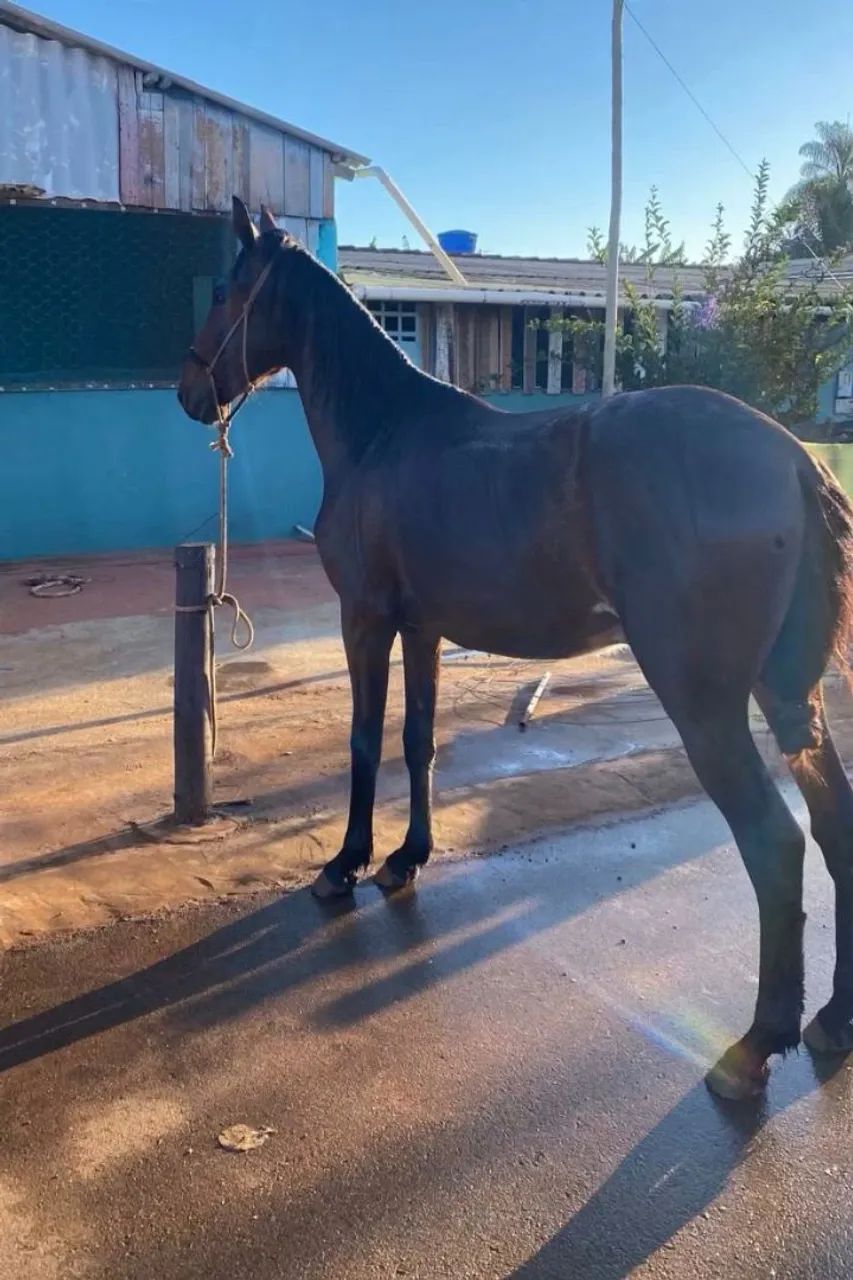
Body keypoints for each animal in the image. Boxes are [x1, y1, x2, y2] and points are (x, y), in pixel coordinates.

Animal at [179, 197, 853, 1102]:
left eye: (224, 291)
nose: (188, 390)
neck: (383, 432)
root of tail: (791, 459)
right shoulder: (421, 627)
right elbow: (417, 742)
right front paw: (404, 860)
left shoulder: (365, 619)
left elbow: (362, 742)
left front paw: (343, 866)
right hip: (788, 696)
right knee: (833, 824)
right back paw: (831, 1022)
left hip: (704, 705)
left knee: (775, 845)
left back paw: (754, 1046)